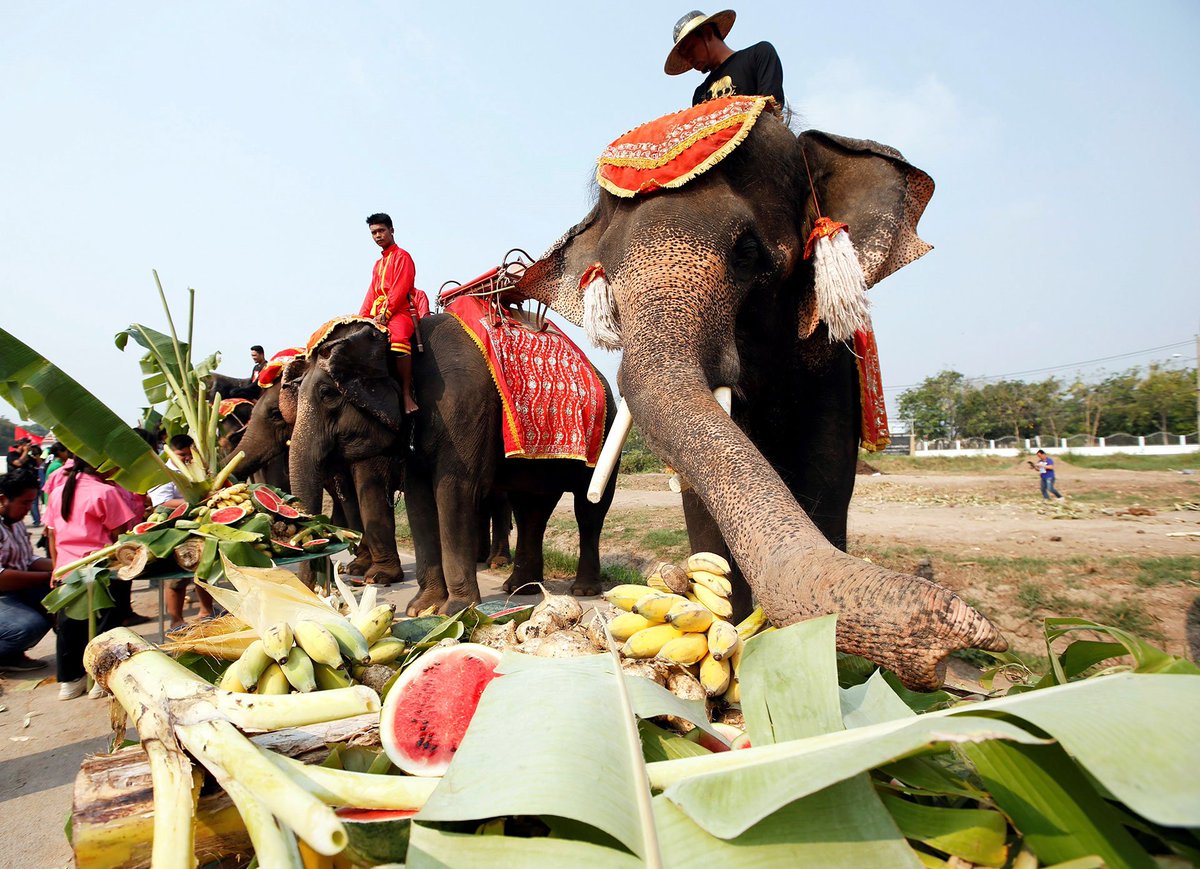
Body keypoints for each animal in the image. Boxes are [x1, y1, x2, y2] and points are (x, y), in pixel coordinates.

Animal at [285, 316, 614, 614]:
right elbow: (419, 501)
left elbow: (453, 494)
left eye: (327, 394)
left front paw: (453, 609)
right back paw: (520, 588)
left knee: (588, 512)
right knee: (530, 510)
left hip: (605, 435)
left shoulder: (462, 408)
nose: (315, 593)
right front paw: (422, 608)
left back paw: (583, 589)